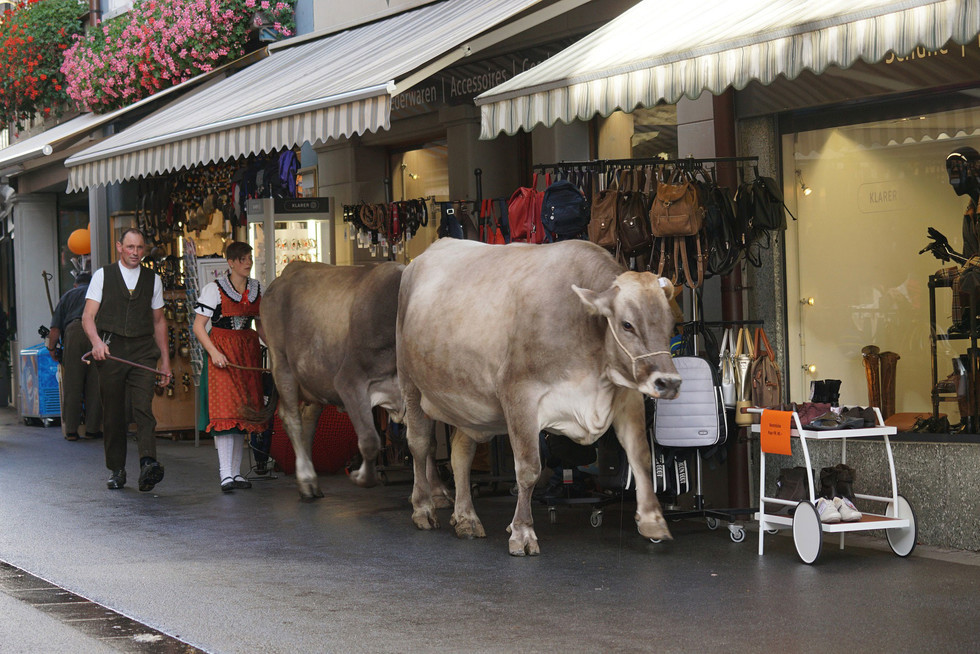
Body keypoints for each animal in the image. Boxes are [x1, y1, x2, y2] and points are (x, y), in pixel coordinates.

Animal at [256, 262, 448, 502]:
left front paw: (437, 490)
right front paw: (362, 477)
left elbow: (429, 442)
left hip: (315, 378)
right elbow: (369, 440)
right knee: (291, 419)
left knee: (308, 419)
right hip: (282, 365)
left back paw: (313, 481)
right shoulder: (349, 381)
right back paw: (306, 480)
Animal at [398, 238, 680, 556]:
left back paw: (467, 518)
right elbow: (529, 468)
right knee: (419, 444)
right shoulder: (519, 394)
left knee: (461, 454)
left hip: (468, 403)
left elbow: (640, 455)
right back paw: (423, 508)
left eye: (670, 324)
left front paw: (653, 520)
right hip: (410, 384)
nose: (669, 382)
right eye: (627, 325)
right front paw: (522, 531)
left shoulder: (626, 395)